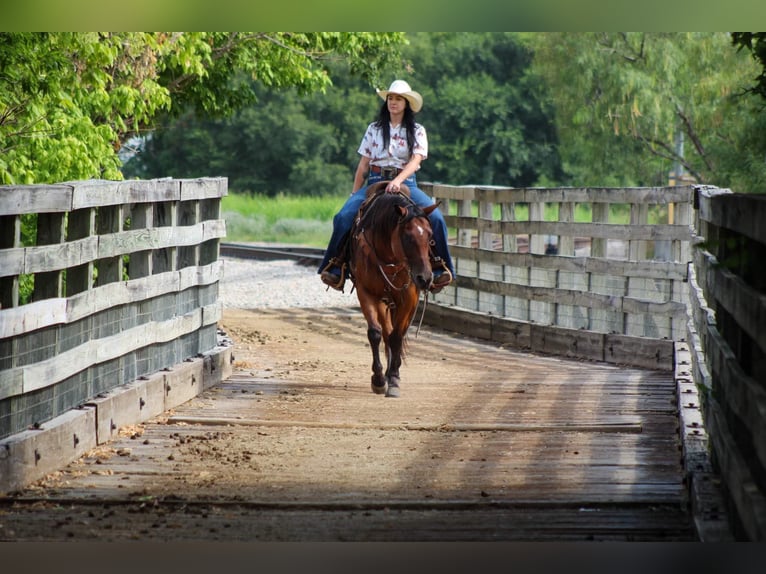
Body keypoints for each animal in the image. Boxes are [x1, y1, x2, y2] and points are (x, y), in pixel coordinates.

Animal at [348, 182, 438, 398]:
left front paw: (394, 378)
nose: (425, 278)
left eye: (430, 235)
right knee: (385, 332)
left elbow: (397, 336)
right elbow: (375, 333)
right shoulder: (367, 293)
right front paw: (379, 379)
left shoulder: (410, 296)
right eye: (407, 236)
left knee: (393, 334)